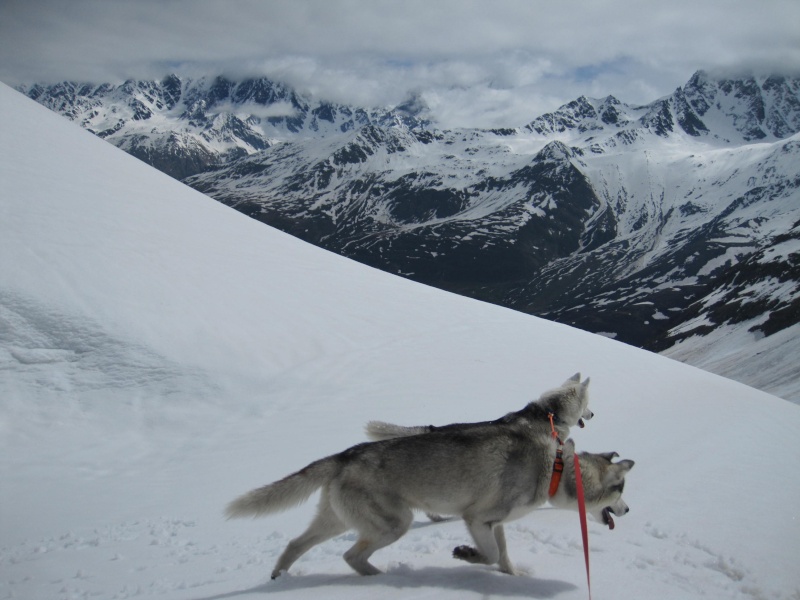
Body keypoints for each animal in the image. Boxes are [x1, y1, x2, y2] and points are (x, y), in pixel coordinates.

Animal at [225, 398, 632, 576]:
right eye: (621, 491)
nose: (627, 511)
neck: (556, 467)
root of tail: (343, 455)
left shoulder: (495, 523)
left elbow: (502, 555)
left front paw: (514, 577)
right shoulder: (477, 518)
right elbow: (489, 554)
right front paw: (466, 555)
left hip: (337, 520)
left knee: (297, 544)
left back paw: (280, 575)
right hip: (394, 524)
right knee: (350, 556)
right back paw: (381, 580)